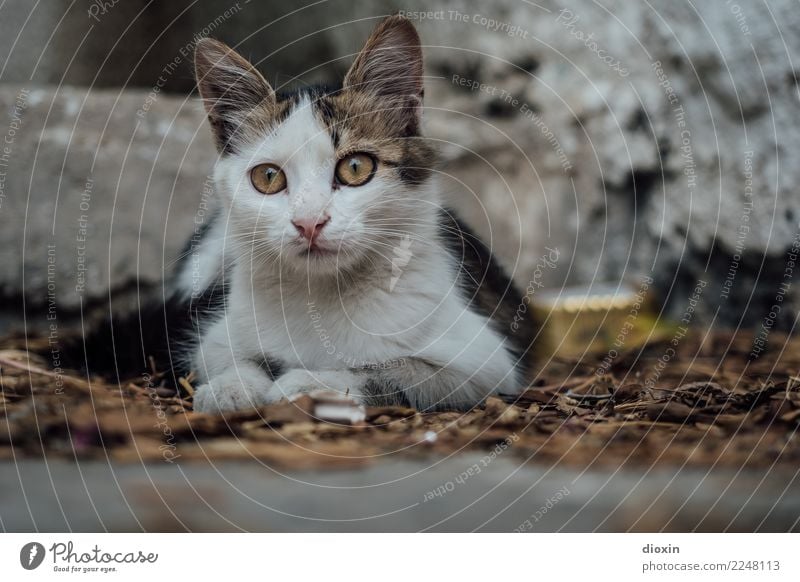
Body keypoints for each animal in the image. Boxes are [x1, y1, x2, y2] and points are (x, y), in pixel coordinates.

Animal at [168, 14, 540, 416]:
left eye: (356, 168)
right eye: (267, 177)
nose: (309, 222)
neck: (322, 294)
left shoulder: (486, 364)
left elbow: (389, 367)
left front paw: (310, 383)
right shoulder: (216, 338)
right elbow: (225, 356)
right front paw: (230, 387)